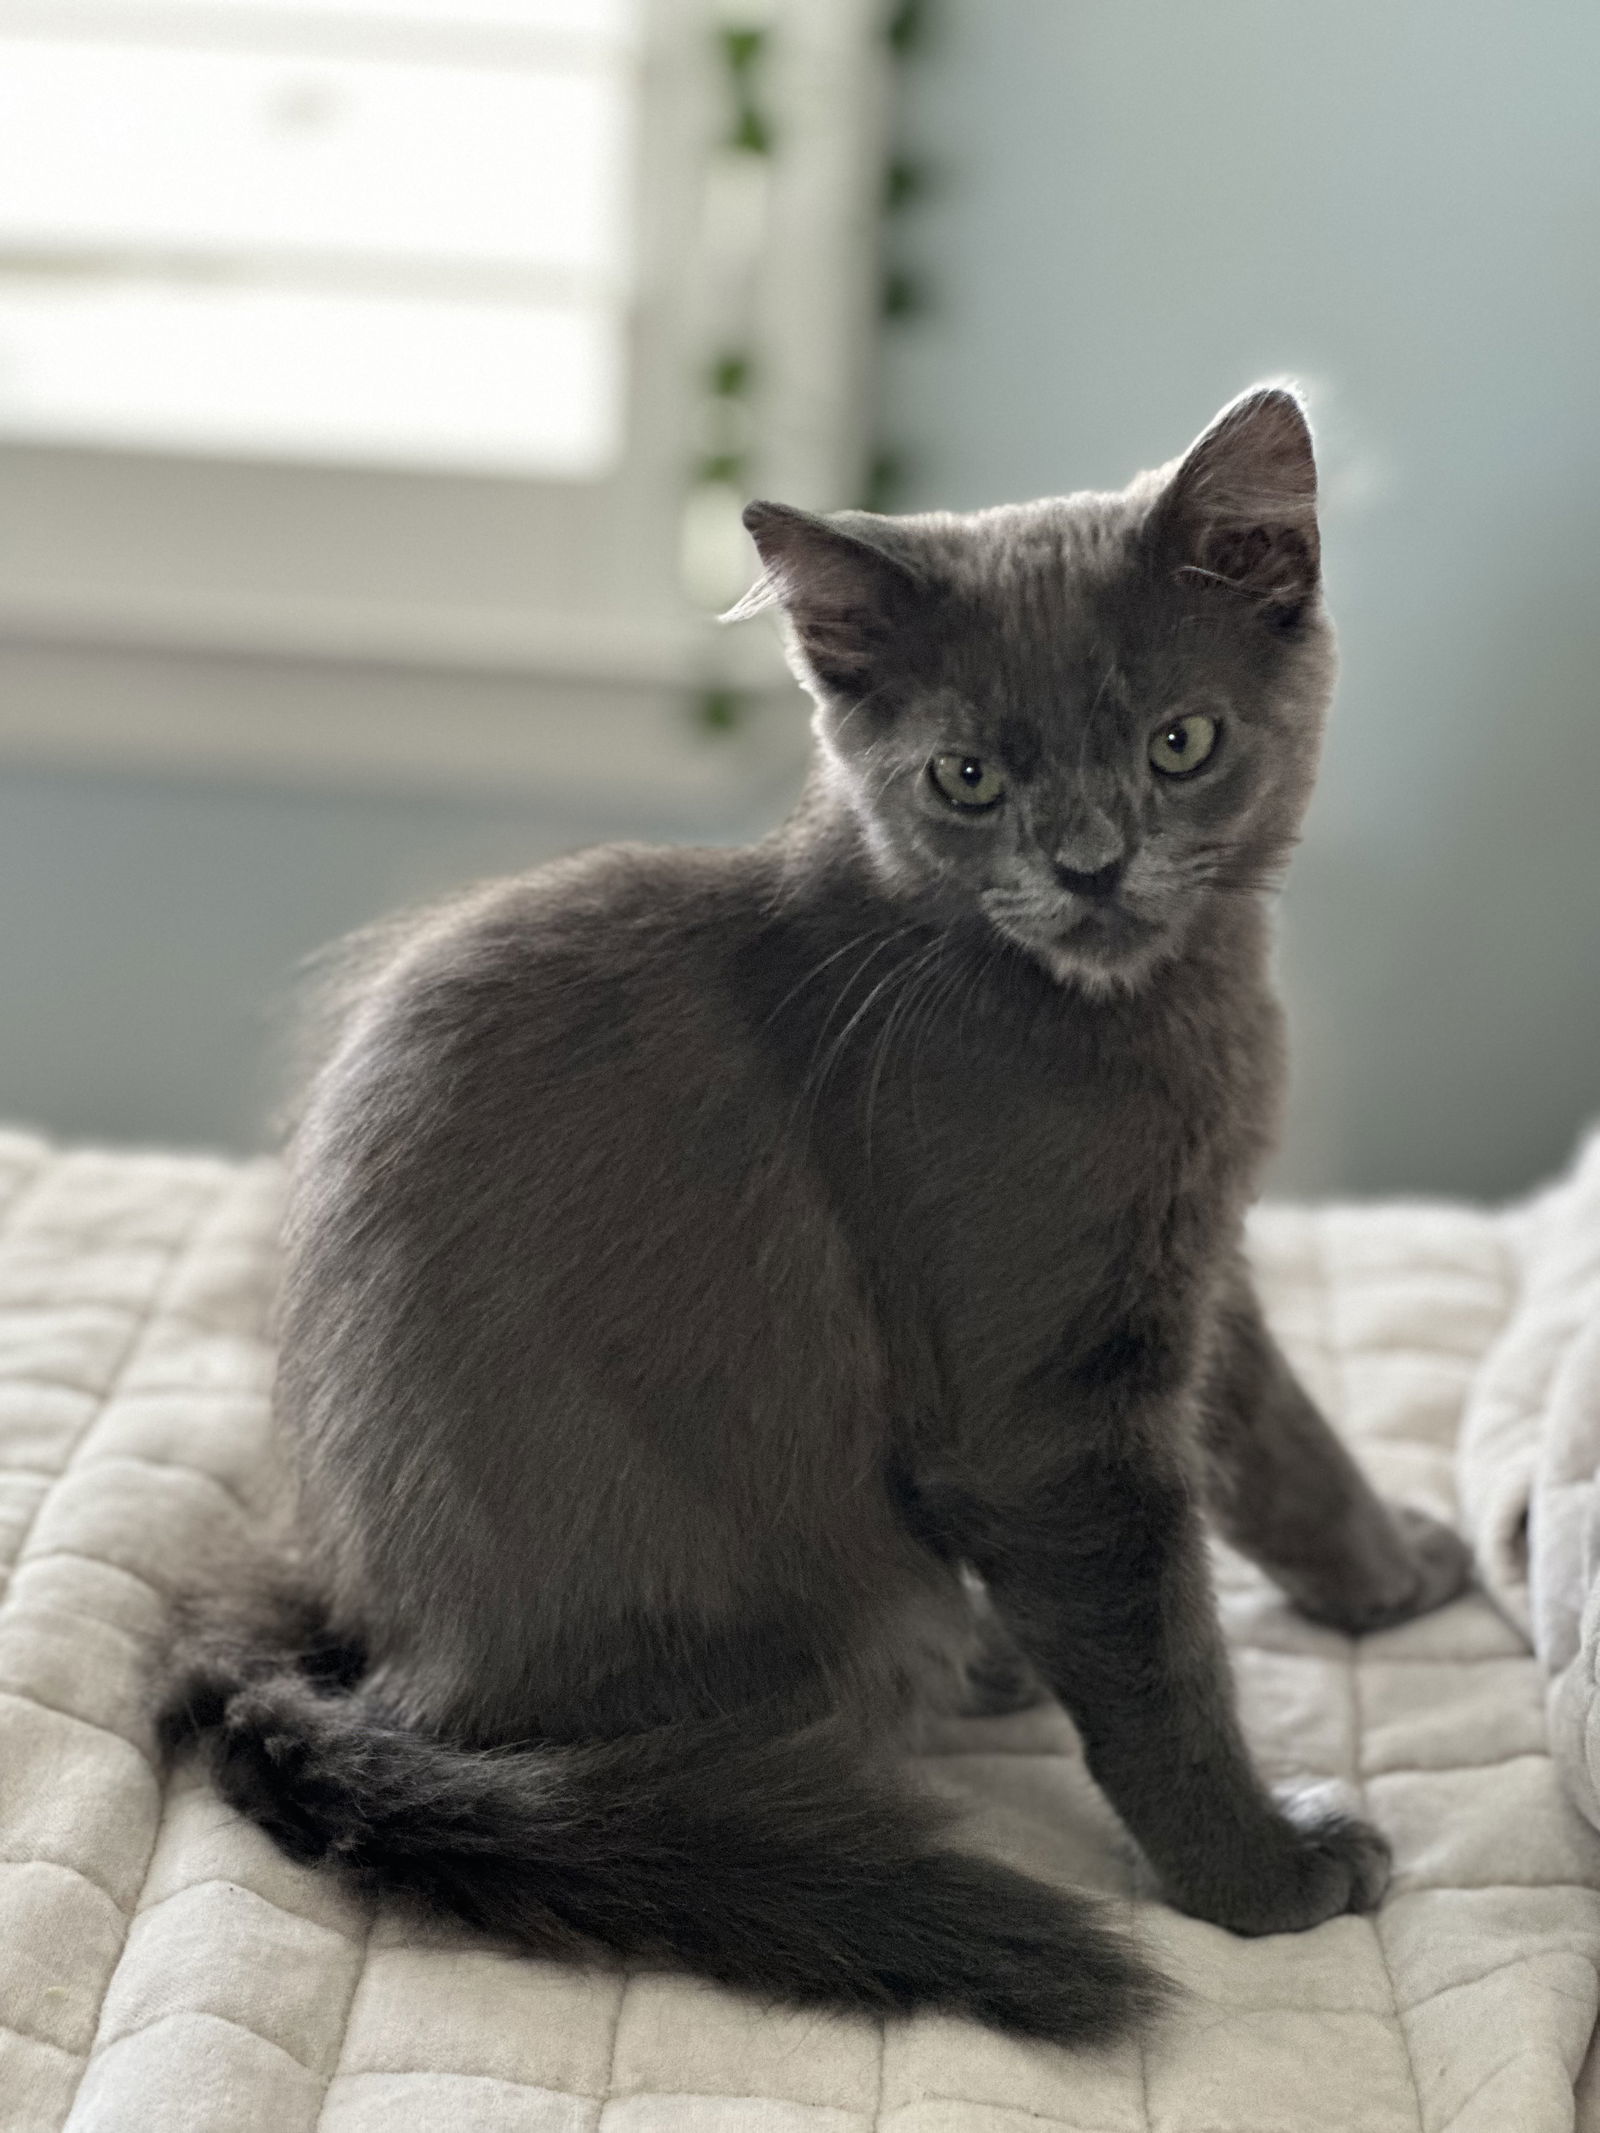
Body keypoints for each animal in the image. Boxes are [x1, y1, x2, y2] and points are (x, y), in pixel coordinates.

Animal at [163, 392, 1476, 2039]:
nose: (1090, 865)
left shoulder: (1189, 1267)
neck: (1147, 1019)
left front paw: (1394, 1576)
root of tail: (371, 1662)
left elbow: (1285, 1443)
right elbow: (1156, 1644)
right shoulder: (1048, 1406)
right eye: (966, 779)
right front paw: (1257, 1875)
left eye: (1180, 743)